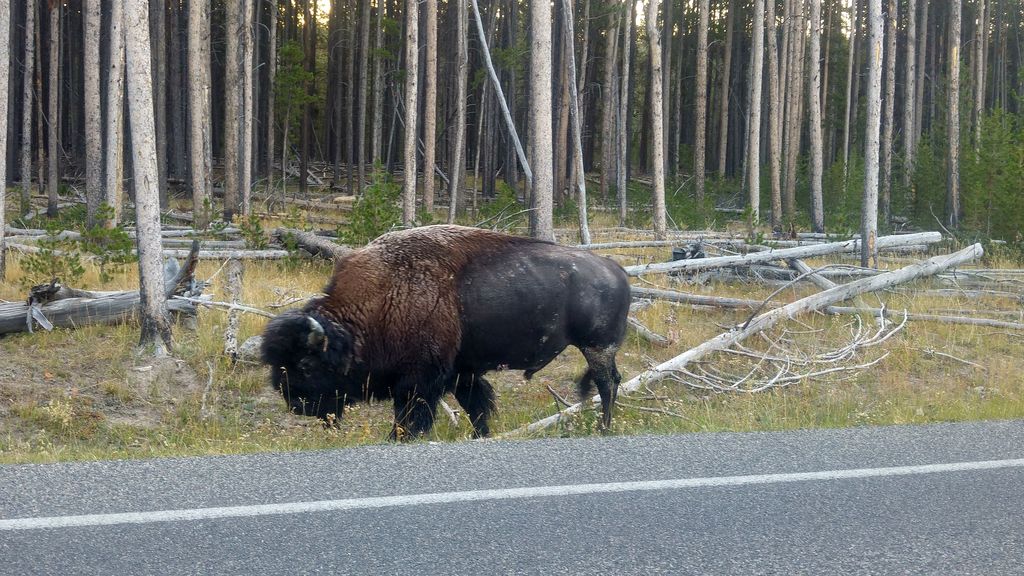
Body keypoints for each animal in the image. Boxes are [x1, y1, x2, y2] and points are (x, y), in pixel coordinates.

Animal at [262, 224, 630, 438]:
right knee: (610, 382)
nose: (295, 403)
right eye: (276, 364)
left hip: (597, 346)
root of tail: (616, 270)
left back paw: (603, 428)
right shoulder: (459, 371)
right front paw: (480, 435)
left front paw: (400, 438)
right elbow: (476, 404)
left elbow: (413, 414)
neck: (383, 297)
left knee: (607, 384)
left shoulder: (421, 378)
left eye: (305, 364)